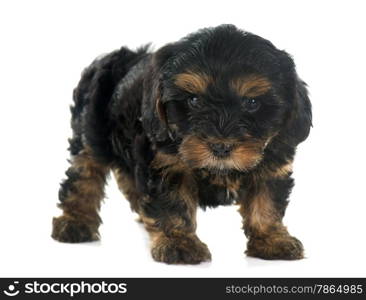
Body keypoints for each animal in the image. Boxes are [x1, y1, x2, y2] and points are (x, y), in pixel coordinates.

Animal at [53, 24, 314, 264]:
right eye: (194, 101)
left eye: (251, 103)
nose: (221, 147)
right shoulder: (167, 165)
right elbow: (173, 204)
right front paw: (178, 243)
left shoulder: (271, 162)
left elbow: (266, 201)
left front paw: (272, 240)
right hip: (91, 132)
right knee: (84, 175)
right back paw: (75, 221)